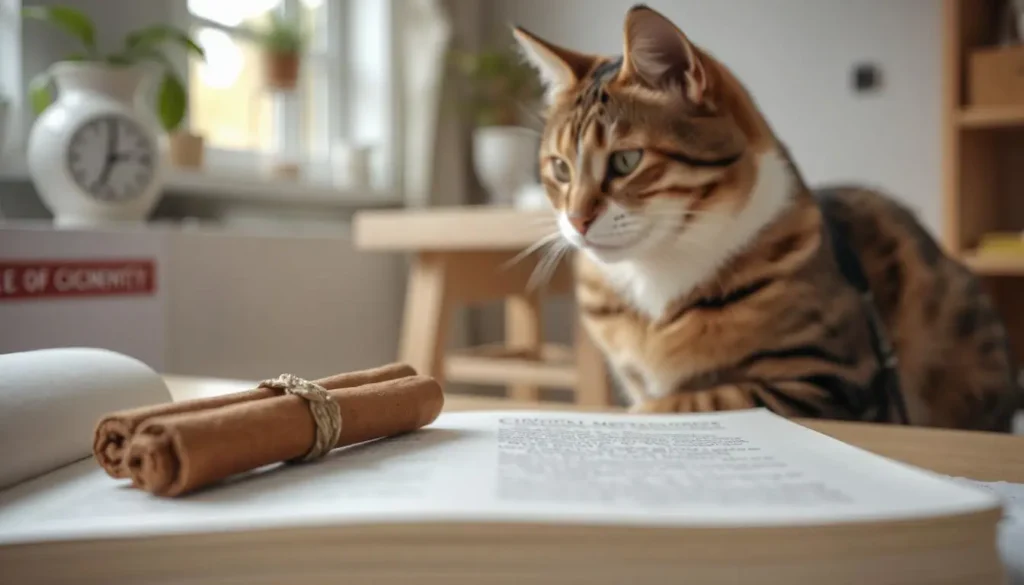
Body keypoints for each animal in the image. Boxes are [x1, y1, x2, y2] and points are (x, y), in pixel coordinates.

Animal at [516, 3, 1019, 430]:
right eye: (560, 168)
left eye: (626, 161)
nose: (577, 220)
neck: (655, 275)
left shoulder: (834, 380)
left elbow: (706, 397)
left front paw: (640, 414)